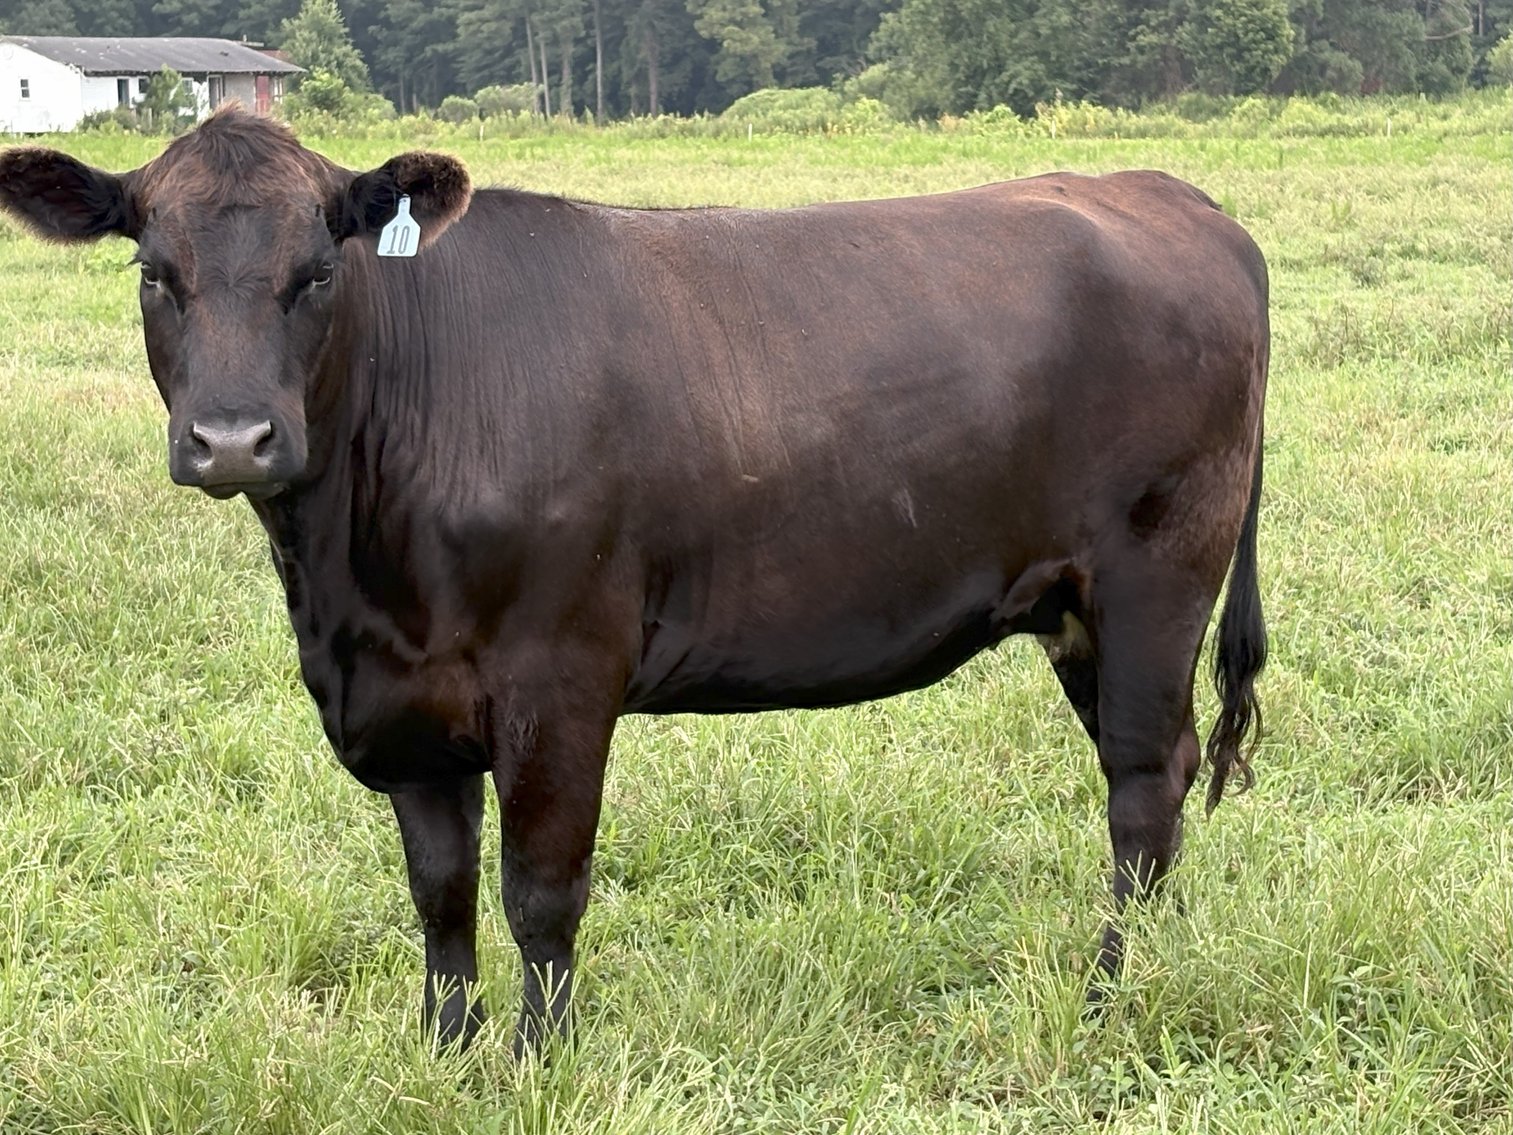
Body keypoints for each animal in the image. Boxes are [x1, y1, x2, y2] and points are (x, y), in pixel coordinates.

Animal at [0, 108, 1268, 1056]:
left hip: (1154, 578)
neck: (351, 583)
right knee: (1165, 775)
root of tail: (1179, 198)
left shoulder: (561, 673)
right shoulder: (409, 707)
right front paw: (446, 1054)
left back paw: (1110, 993)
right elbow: (441, 894)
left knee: (1140, 786)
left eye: (316, 271)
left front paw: (538, 1061)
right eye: (154, 272)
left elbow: (540, 891)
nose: (231, 440)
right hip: (1073, 611)